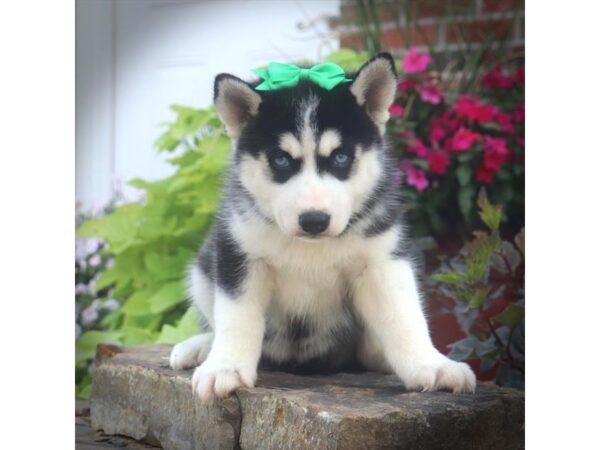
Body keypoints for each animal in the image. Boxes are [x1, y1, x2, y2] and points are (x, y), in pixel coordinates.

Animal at [168, 52, 474, 400]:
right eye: (281, 160)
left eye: (340, 157)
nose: (314, 220)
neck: (311, 248)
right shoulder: (239, 254)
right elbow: (237, 317)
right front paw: (225, 366)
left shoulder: (382, 260)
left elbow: (404, 317)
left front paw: (432, 365)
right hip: (204, 266)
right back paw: (201, 347)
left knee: (367, 350)